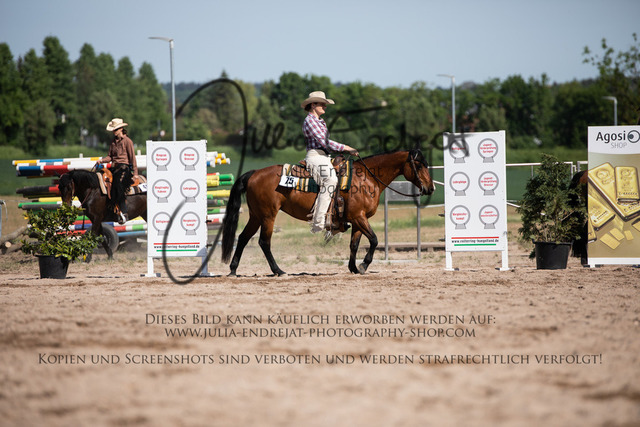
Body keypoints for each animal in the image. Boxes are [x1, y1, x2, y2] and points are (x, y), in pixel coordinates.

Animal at [221, 149, 436, 276]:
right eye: (419, 165)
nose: (431, 188)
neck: (366, 179)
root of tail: (254, 173)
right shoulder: (359, 217)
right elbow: (374, 240)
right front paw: (364, 265)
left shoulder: (358, 220)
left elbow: (354, 244)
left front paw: (353, 268)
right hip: (268, 216)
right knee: (264, 242)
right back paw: (278, 270)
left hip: (256, 216)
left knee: (243, 238)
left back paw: (233, 269)